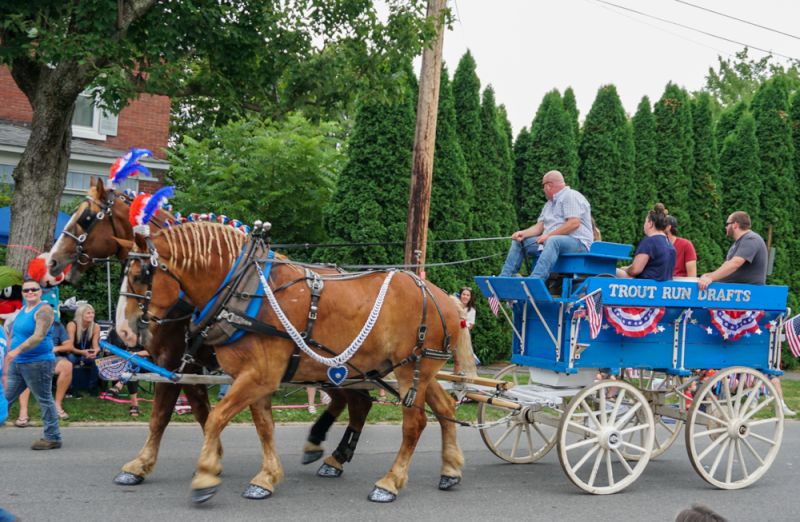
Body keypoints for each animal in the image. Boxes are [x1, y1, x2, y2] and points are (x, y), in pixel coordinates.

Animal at [118, 221, 476, 502]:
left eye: (140, 275)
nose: (123, 330)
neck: (245, 290)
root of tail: (443, 297)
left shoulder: (252, 374)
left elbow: (211, 418)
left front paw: (205, 475)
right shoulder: (253, 376)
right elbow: (262, 425)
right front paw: (265, 477)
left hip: (406, 370)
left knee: (414, 424)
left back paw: (389, 483)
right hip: (412, 371)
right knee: (443, 407)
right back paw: (449, 469)